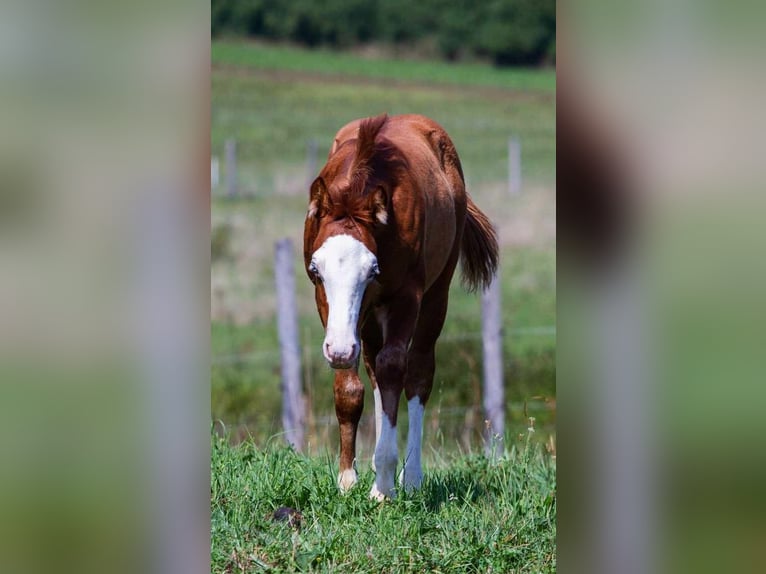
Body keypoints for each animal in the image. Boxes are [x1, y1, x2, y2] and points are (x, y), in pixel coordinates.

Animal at [304, 112, 500, 500]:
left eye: (372, 269)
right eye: (317, 270)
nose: (340, 350)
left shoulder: (407, 296)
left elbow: (396, 367)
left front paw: (383, 486)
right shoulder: (331, 311)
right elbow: (350, 387)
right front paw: (347, 479)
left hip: (434, 296)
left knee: (417, 372)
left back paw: (410, 478)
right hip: (368, 318)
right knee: (375, 373)